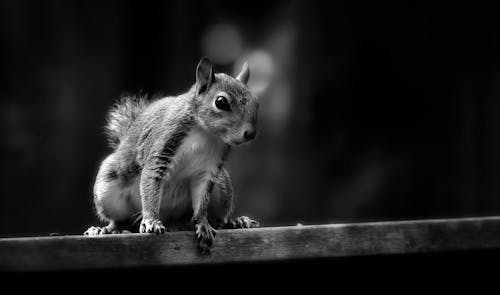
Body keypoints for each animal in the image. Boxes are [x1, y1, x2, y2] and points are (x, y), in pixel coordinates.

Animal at [83, 57, 258, 254]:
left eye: (256, 102)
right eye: (221, 102)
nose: (250, 133)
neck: (205, 133)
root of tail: (172, 222)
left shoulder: (208, 169)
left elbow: (201, 200)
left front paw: (203, 224)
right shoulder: (164, 144)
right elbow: (152, 181)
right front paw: (151, 221)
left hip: (222, 186)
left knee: (219, 218)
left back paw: (235, 222)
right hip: (107, 188)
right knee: (119, 220)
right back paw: (105, 229)